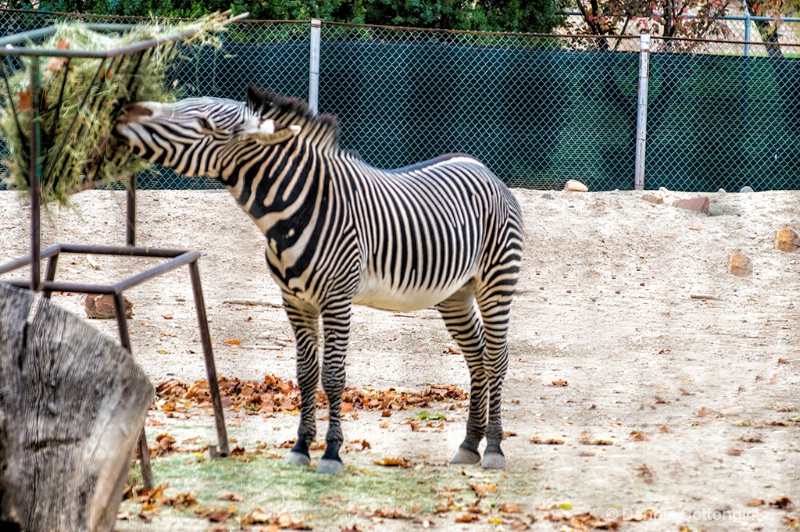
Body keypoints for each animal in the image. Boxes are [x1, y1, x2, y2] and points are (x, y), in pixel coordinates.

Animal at [114, 86, 524, 474]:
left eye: (204, 125)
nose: (124, 114)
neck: (293, 212)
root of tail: (482, 167)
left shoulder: (337, 300)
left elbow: (333, 375)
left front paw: (331, 453)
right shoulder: (295, 302)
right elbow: (306, 374)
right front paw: (300, 448)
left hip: (496, 281)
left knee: (496, 357)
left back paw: (494, 447)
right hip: (455, 294)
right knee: (476, 355)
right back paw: (469, 444)